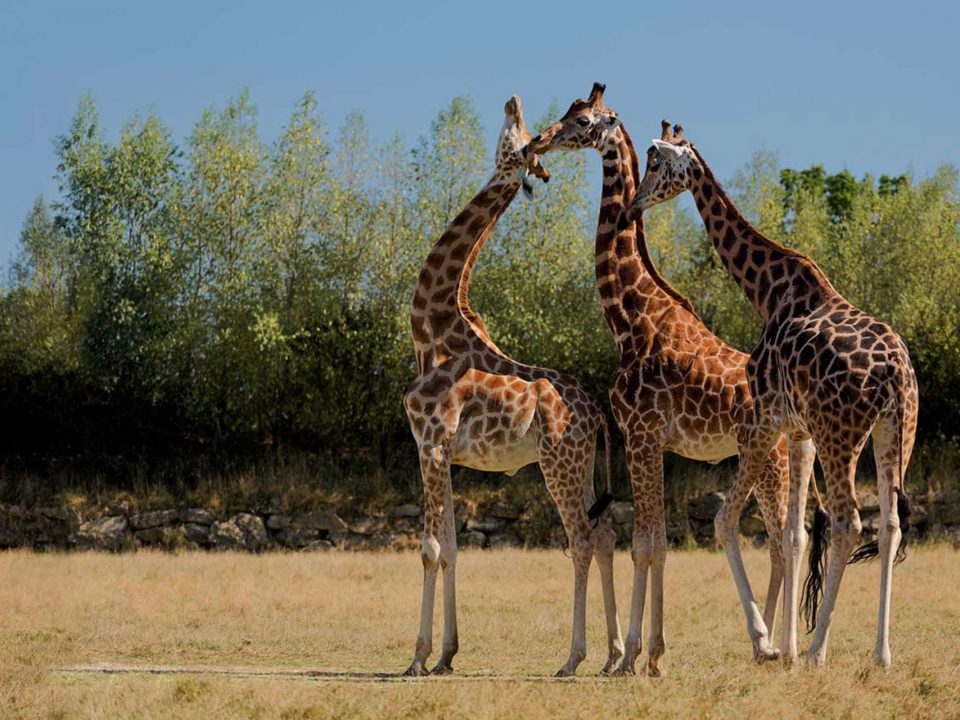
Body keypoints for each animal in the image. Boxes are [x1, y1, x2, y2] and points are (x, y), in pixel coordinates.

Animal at [404, 94, 624, 676]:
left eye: (516, 139)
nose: (513, 101)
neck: (432, 331)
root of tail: (598, 413)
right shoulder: (444, 453)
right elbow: (453, 548)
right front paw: (447, 656)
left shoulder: (430, 443)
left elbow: (429, 548)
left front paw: (417, 658)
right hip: (582, 466)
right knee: (607, 533)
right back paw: (614, 655)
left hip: (557, 464)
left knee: (582, 539)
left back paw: (574, 658)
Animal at [524, 84, 796, 676]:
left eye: (581, 121)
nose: (537, 142)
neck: (630, 318)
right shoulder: (651, 442)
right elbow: (655, 540)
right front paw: (649, 655)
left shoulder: (642, 435)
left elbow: (645, 544)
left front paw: (635, 656)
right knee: (787, 537)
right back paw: (781, 646)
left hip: (770, 459)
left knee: (785, 537)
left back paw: (773, 643)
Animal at [628, 121, 920, 668]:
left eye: (655, 160)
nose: (635, 204)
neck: (767, 291)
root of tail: (895, 371)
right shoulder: (798, 430)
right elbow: (792, 532)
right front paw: (783, 648)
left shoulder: (763, 420)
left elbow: (726, 521)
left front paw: (768, 643)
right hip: (896, 430)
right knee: (890, 524)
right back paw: (881, 654)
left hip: (841, 434)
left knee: (850, 522)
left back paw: (820, 651)